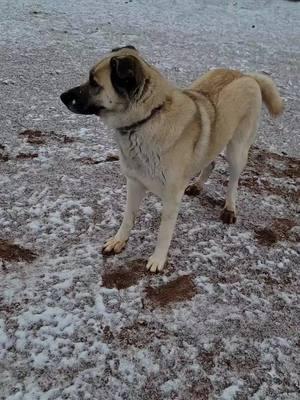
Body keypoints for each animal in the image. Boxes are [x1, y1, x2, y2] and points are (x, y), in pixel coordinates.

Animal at [60, 45, 284, 274]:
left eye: (94, 83)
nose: (62, 96)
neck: (147, 118)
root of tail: (245, 75)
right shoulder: (134, 183)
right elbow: (128, 217)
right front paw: (118, 241)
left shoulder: (172, 196)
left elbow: (163, 232)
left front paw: (157, 260)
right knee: (210, 161)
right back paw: (197, 185)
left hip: (237, 150)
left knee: (233, 181)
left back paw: (229, 208)